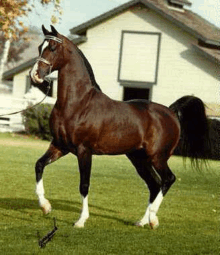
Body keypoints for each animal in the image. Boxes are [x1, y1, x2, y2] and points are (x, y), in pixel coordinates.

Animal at [29, 25, 210, 229]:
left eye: (52, 48)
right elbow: (39, 165)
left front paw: (81, 220)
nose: (35, 75)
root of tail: (171, 112)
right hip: (139, 159)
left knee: (167, 180)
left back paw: (153, 219)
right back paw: (142, 221)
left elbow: (84, 185)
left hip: (158, 157)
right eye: (39, 47)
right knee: (154, 184)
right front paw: (45, 206)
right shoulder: (60, 146)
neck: (78, 103)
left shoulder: (84, 151)